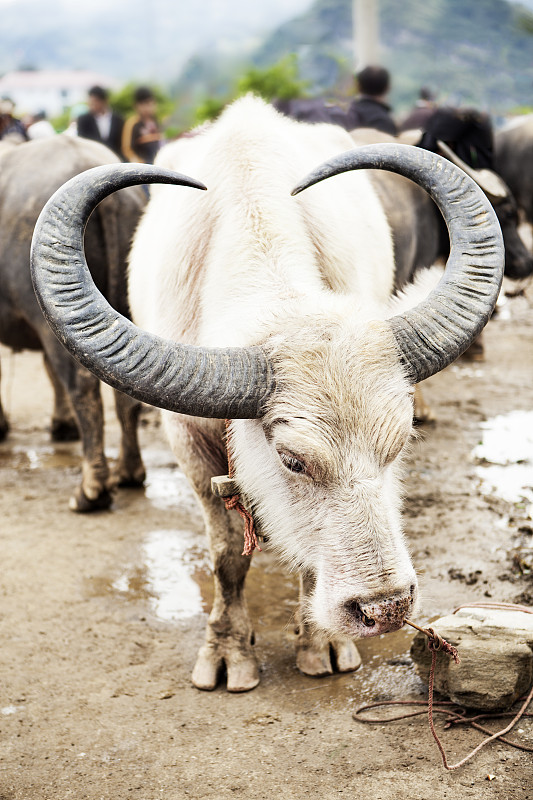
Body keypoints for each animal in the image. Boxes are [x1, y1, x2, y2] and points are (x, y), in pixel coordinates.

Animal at [30, 97, 502, 692]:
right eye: (292, 461)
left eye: (398, 445)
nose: (385, 608)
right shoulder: (188, 440)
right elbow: (228, 554)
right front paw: (227, 651)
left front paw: (321, 643)